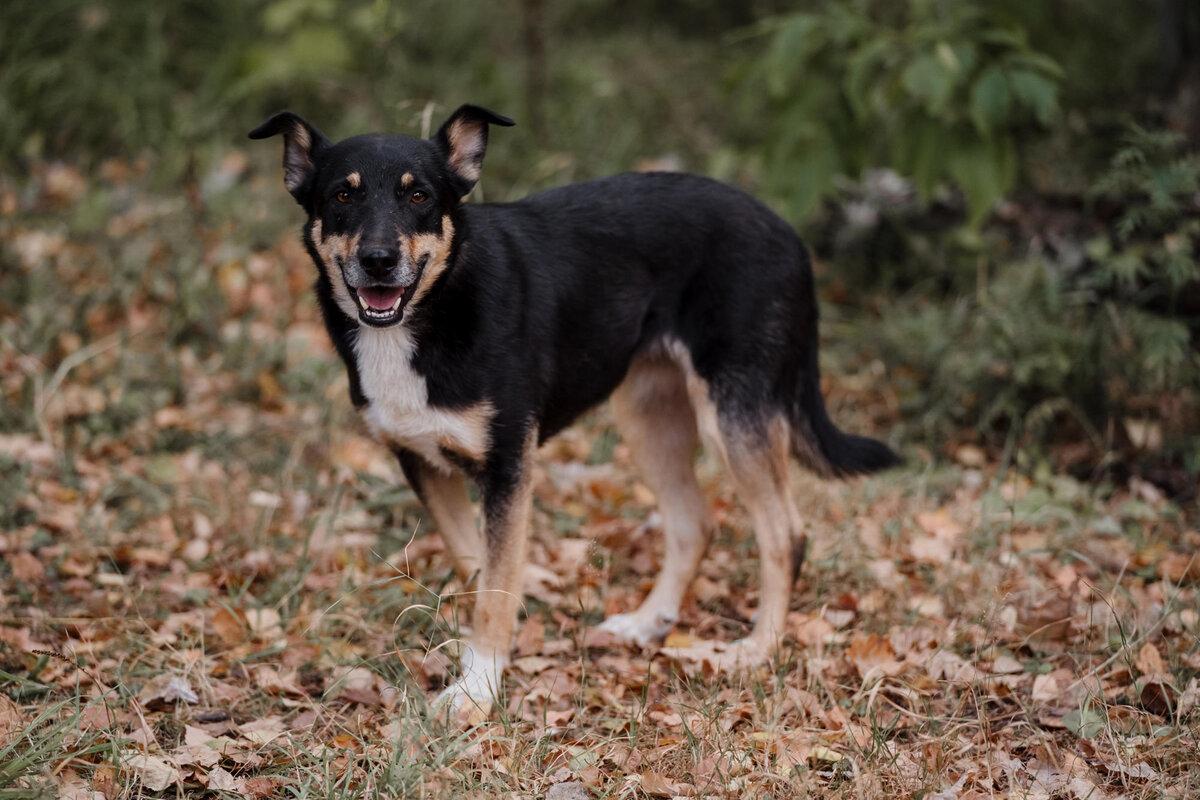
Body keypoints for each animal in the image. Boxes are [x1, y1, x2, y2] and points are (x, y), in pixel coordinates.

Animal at [248, 104, 897, 705]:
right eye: (342, 194)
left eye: (418, 195)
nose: (379, 261)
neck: (433, 311)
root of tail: (789, 234)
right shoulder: (423, 462)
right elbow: (477, 567)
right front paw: (480, 662)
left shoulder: (509, 465)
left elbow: (497, 581)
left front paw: (478, 690)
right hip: (648, 417)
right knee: (694, 523)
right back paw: (648, 623)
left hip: (732, 414)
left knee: (785, 534)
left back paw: (758, 649)